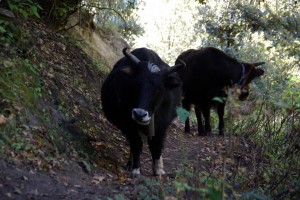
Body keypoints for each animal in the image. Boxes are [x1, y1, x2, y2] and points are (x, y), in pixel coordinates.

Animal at [101, 47, 185, 176]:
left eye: (159, 89)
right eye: (135, 84)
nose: (139, 114)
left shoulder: (162, 126)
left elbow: (156, 146)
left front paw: (158, 170)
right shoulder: (128, 125)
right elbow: (136, 144)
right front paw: (136, 169)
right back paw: (130, 164)